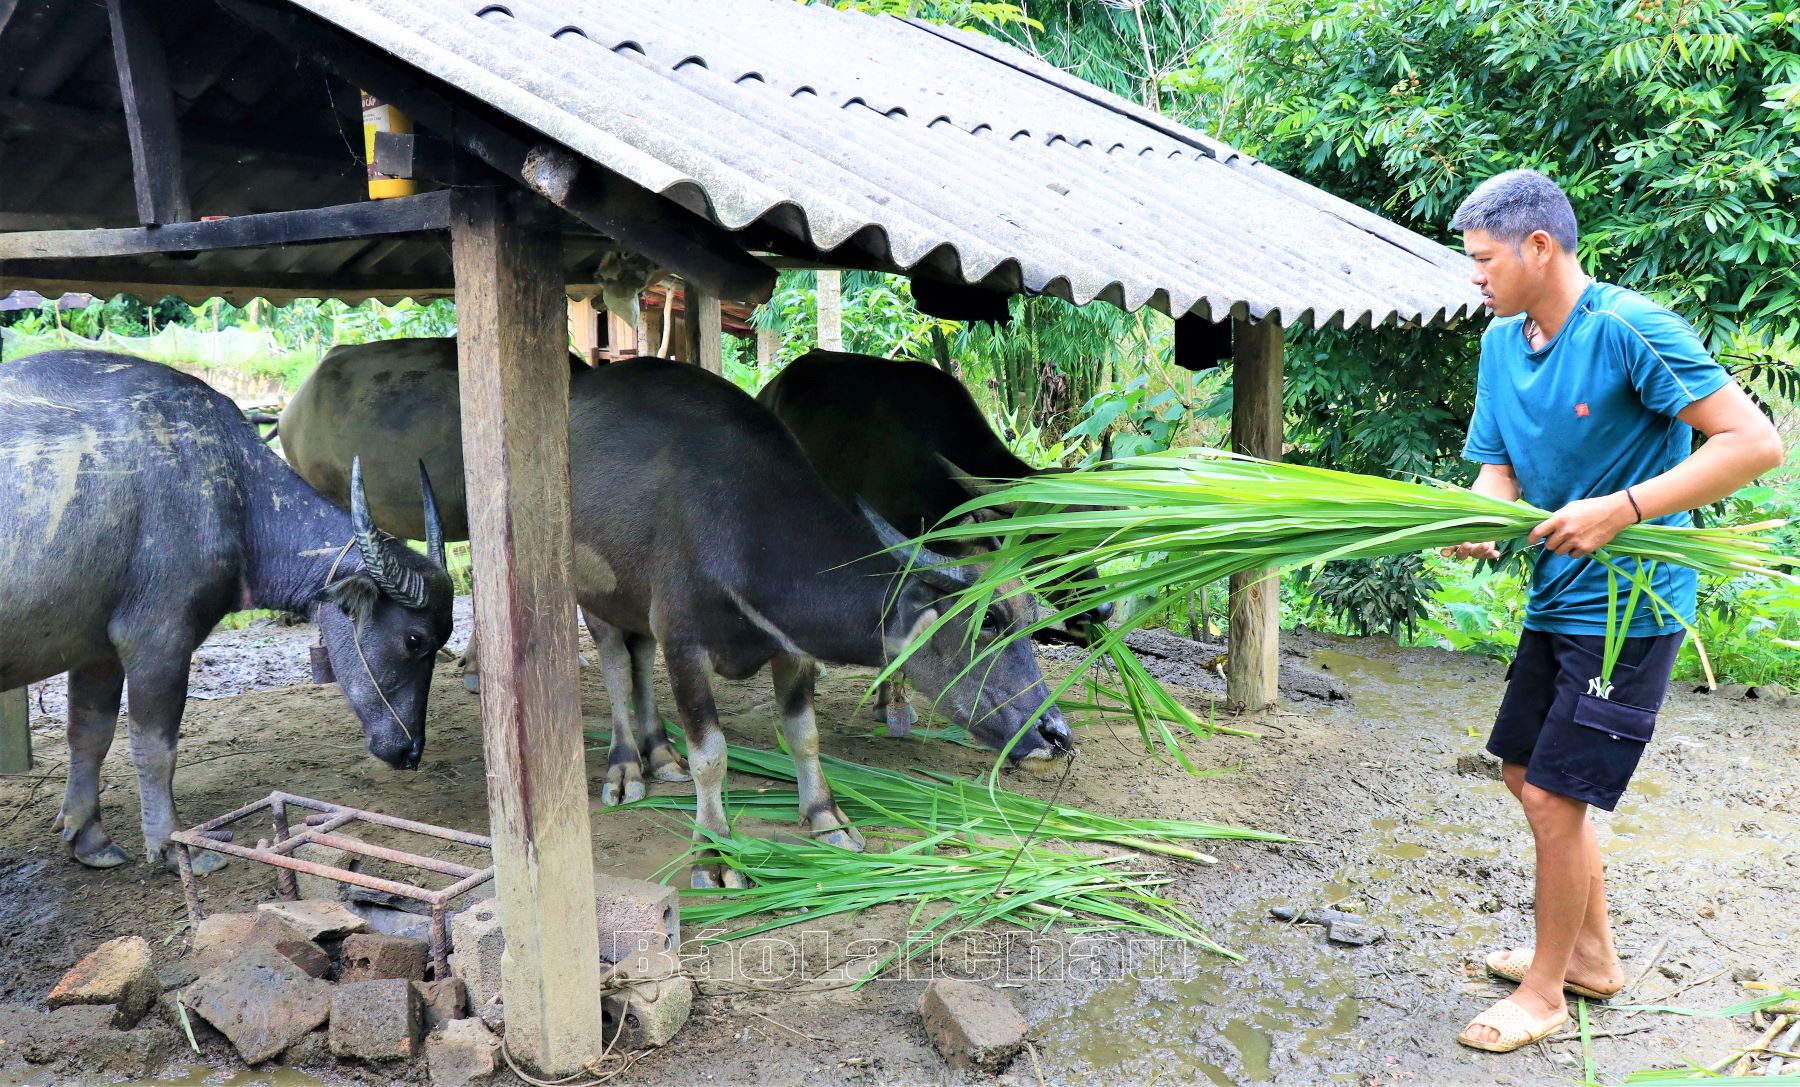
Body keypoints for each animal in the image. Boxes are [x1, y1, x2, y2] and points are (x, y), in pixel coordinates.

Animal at [1, 352, 450, 871]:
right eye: (414, 640)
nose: (410, 750)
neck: (231, 490)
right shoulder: (159, 641)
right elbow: (155, 748)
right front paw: (177, 847)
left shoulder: (98, 650)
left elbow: (89, 734)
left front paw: (88, 838)